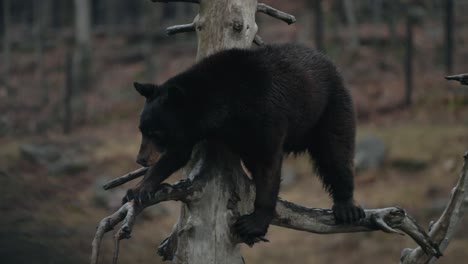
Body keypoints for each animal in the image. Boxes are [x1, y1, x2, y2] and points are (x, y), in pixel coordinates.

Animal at [125, 42, 366, 245]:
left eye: (156, 133)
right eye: (142, 130)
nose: (141, 159)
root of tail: (328, 60)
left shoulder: (266, 113)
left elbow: (268, 161)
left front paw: (254, 223)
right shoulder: (193, 129)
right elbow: (176, 154)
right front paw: (139, 189)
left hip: (330, 108)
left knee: (336, 151)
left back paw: (347, 206)